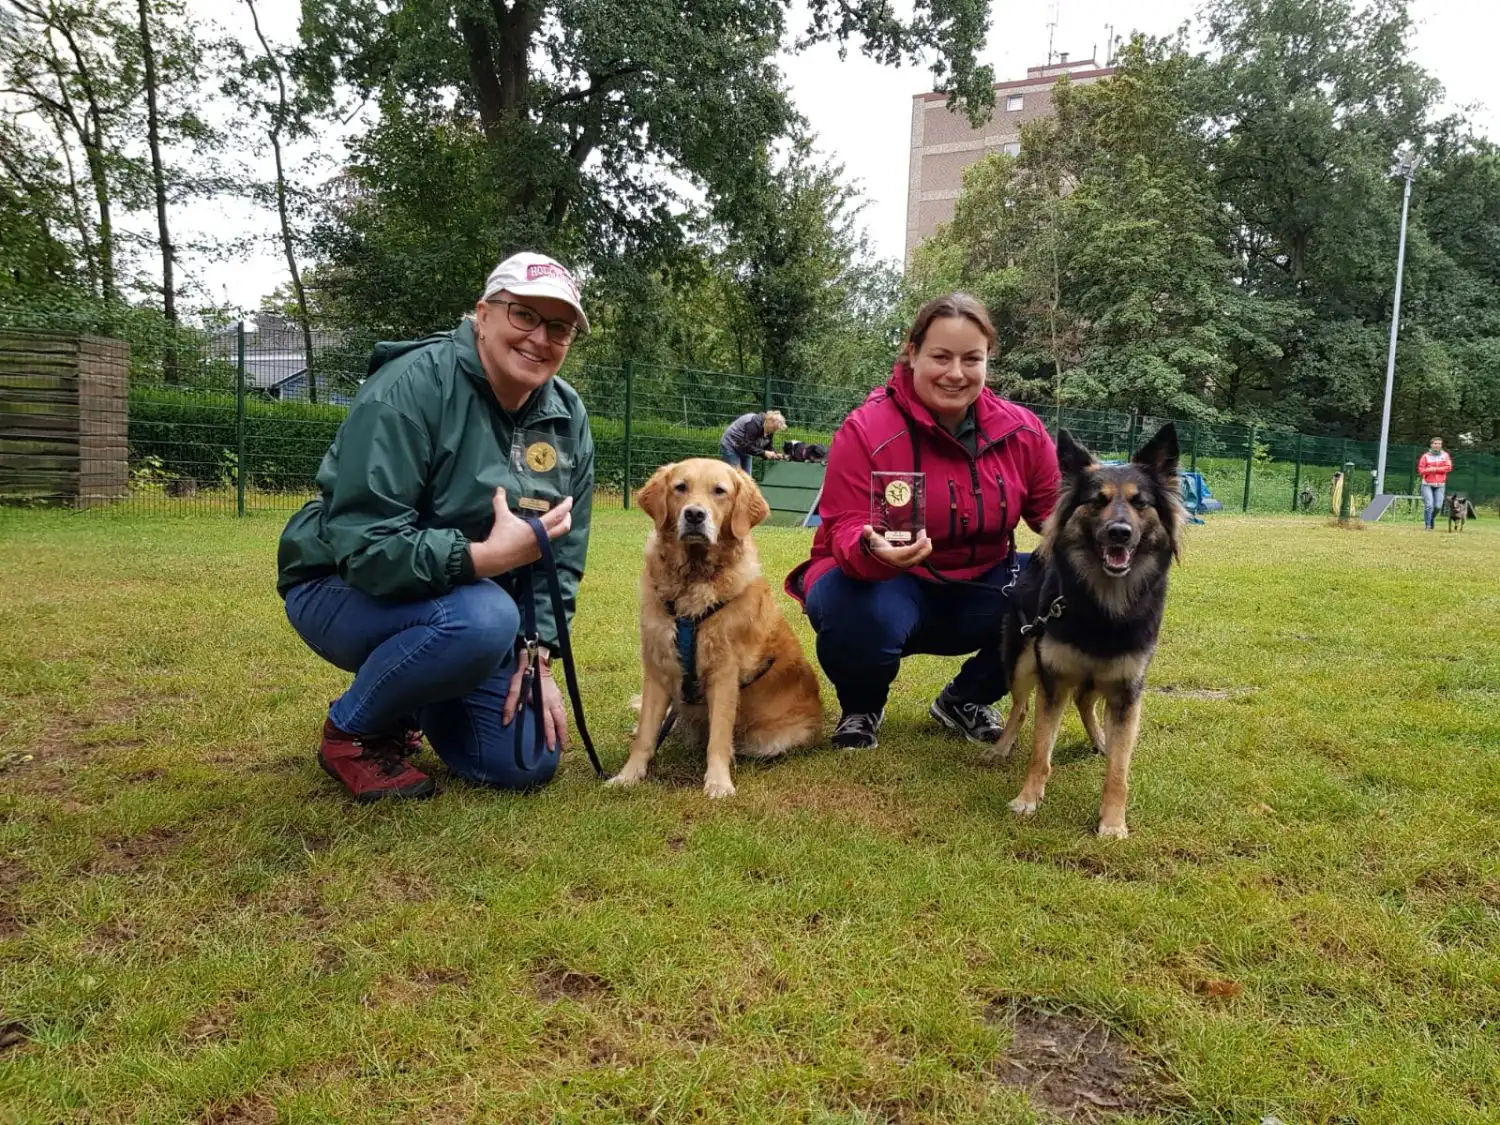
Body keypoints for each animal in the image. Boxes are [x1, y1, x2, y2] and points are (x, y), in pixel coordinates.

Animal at [606, 459, 822, 804]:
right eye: (680, 487)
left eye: (719, 491)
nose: (695, 514)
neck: (693, 582)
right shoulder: (657, 666)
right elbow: (645, 735)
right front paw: (628, 776)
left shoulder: (724, 673)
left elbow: (719, 739)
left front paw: (718, 783)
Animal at [984, 423, 1182, 840]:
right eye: (1097, 500)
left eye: (1140, 502)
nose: (1119, 533)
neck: (1103, 606)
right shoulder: (1053, 679)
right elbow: (1040, 750)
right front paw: (1027, 799)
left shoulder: (1126, 690)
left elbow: (1119, 770)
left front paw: (1113, 821)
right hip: (1022, 661)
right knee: (1020, 709)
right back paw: (1001, 747)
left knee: (1086, 704)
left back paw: (1102, 741)